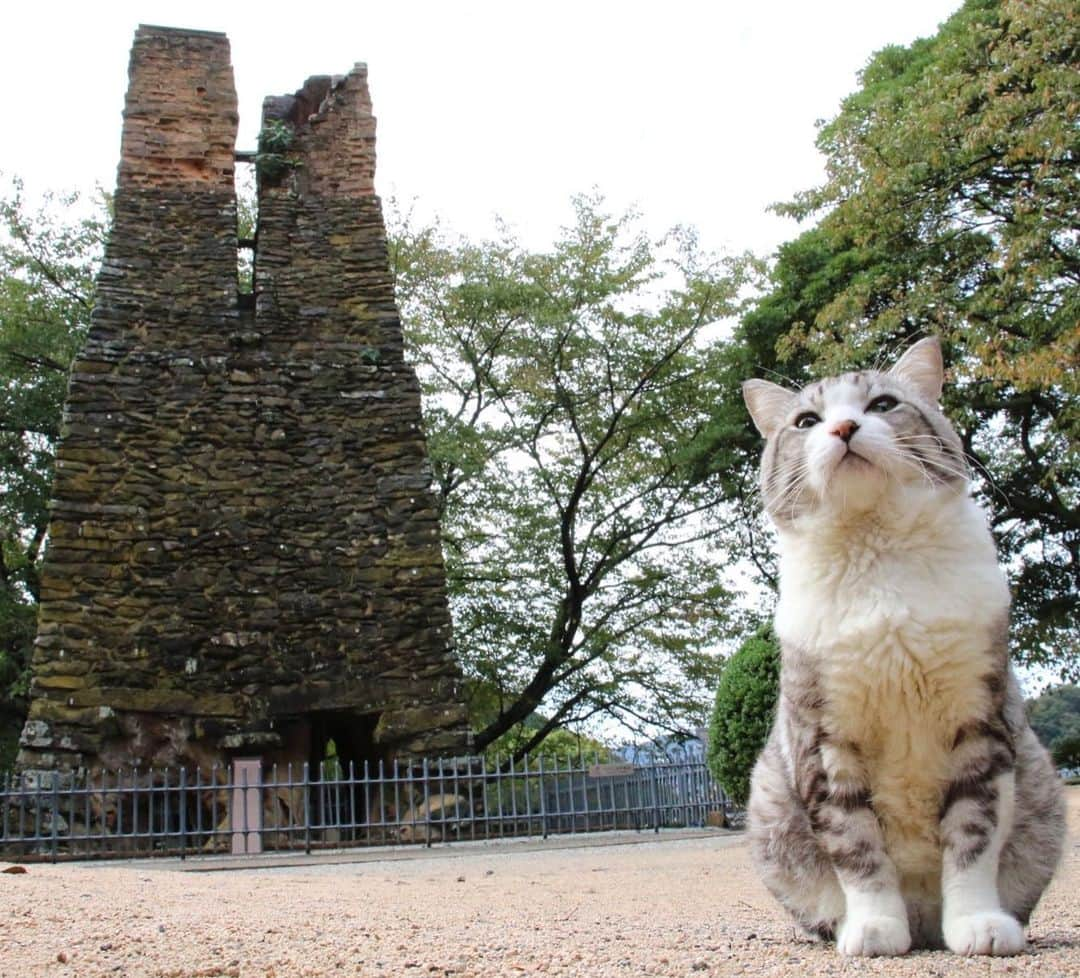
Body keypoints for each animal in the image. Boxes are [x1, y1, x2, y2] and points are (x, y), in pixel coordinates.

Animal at [743, 334, 1062, 954]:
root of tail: (923, 924)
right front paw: (872, 928)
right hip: (768, 805)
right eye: (806, 421)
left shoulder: (980, 721)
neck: (879, 549)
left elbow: (973, 836)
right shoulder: (824, 737)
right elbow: (855, 846)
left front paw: (978, 926)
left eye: (884, 404)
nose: (844, 427)